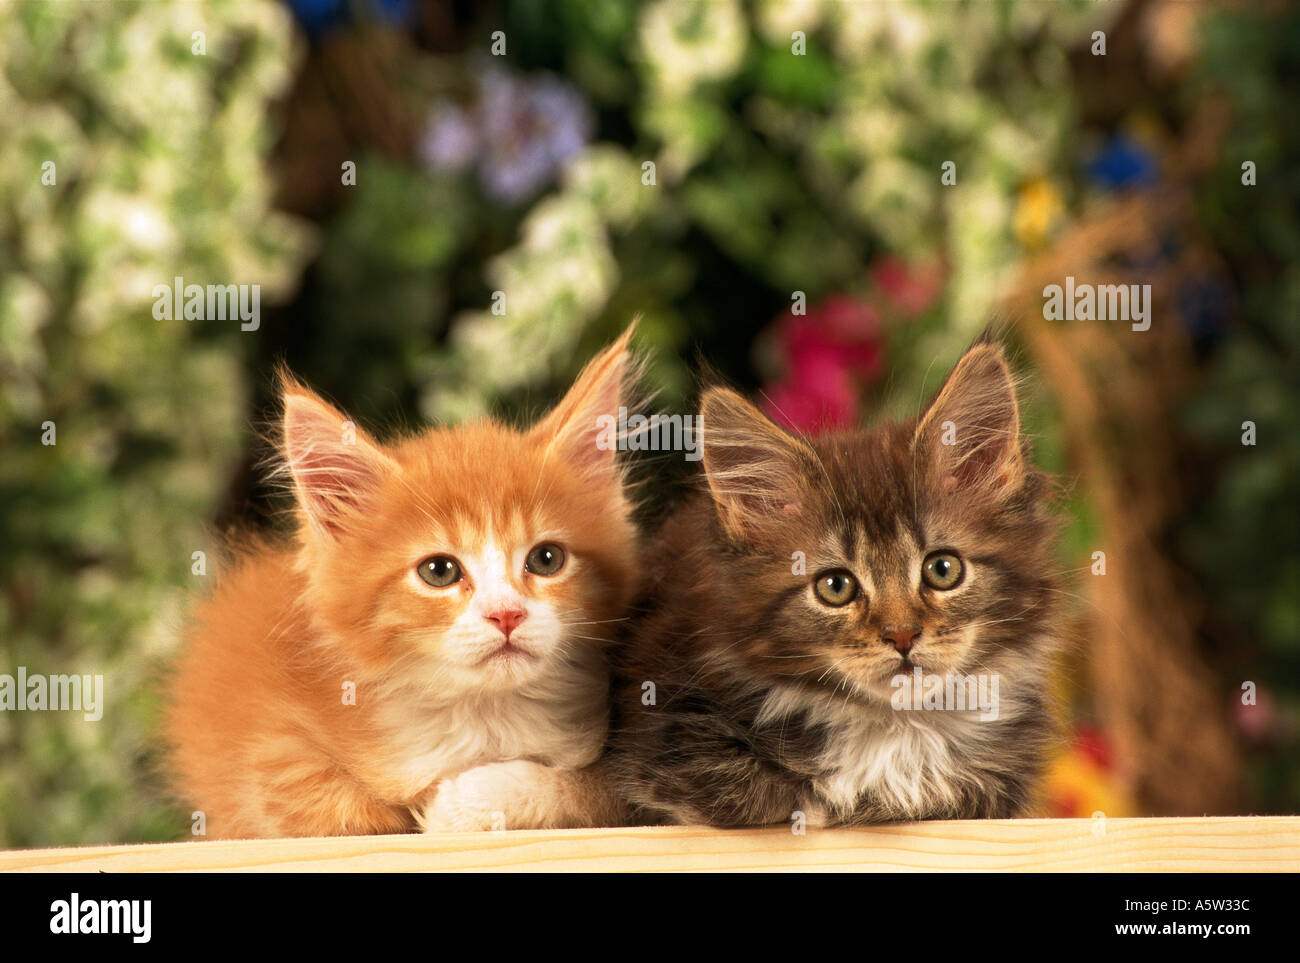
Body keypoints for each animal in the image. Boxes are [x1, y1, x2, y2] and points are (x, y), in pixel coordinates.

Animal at [165, 328, 642, 831]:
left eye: (547, 559)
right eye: (439, 571)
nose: (506, 614)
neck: (485, 720)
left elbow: (590, 789)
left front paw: (462, 802)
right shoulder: (270, 747)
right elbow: (318, 804)